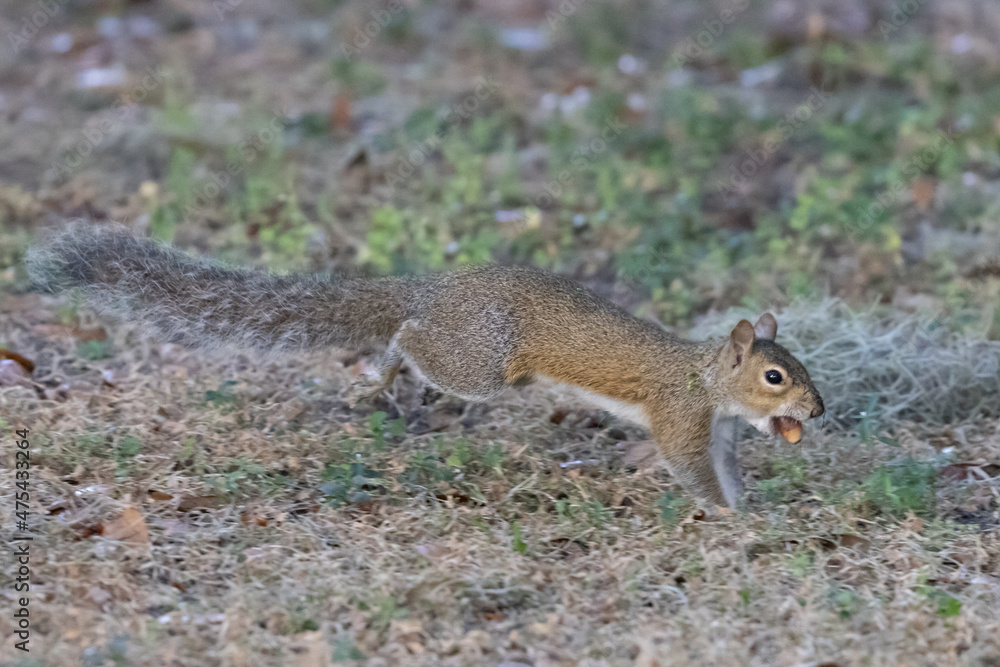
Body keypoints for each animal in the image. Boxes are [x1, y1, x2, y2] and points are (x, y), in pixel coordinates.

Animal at [27, 226, 824, 514]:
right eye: (776, 377)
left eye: (795, 369)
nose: (818, 412)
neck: (709, 382)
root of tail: (434, 290)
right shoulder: (681, 419)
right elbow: (691, 471)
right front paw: (731, 517)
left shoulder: (720, 434)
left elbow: (727, 468)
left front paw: (749, 504)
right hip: (480, 362)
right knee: (410, 337)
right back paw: (387, 363)